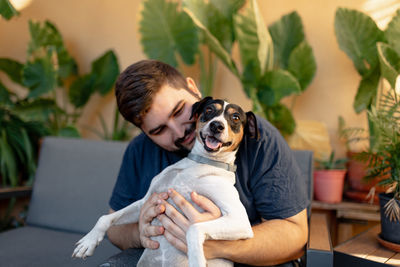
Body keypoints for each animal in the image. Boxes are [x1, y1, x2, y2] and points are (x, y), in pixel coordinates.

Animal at [72, 97, 260, 266]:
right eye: (209, 110)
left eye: (235, 117)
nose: (216, 125)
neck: (201, 162)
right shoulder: (146, 203)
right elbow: (105, 218)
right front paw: (88, 241)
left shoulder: (239, 220)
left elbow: (193, 229)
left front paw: (196, 259)